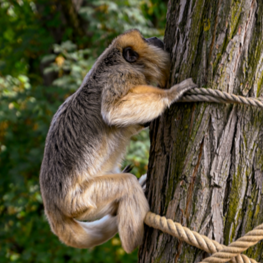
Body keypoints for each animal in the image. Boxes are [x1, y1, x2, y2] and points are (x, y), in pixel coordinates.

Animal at [38, 28, 196, 254]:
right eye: (146, 39)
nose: (154, 37)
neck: (113, 59)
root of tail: (51, 206)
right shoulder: (122, 75)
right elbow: (114, 110)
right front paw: (172, 92)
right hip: (83, 200)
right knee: (126, 185)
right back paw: (135, 241)